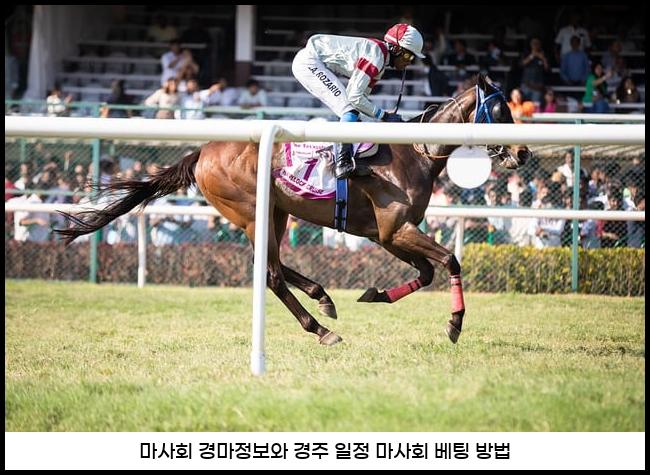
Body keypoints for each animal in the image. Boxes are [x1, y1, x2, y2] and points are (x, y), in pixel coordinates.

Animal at [57, 74, 530, 346]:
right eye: (499, 110)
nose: (523, 152)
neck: (412, 151)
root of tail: (201, 151)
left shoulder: (387, 234)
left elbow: (428, 270)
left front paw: (375, 294)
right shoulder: (394, 229)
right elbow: (449, 260)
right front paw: (455, 324)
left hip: (275, 212)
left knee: (275, 266)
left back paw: (323, 298)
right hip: (252, 212)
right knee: (270, 275)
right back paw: (321, 330)